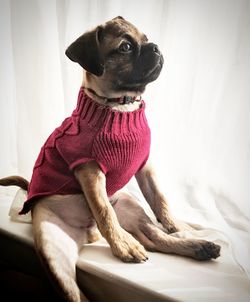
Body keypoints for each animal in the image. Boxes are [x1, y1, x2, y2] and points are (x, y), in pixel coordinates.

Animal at [0, 16, 220, 302]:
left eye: (146, 38)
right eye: (125, 47)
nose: (156, 47)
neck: (120, 106)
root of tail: (87, 234)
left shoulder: (146, 168)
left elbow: (161, 201)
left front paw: (177, 225)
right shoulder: (89, 170)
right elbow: (104, 212)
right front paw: (122, 244)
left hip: (129, 206)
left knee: (154, 238)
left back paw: (198, 246)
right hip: (53, 250)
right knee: (74, 286)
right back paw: (130, 242)